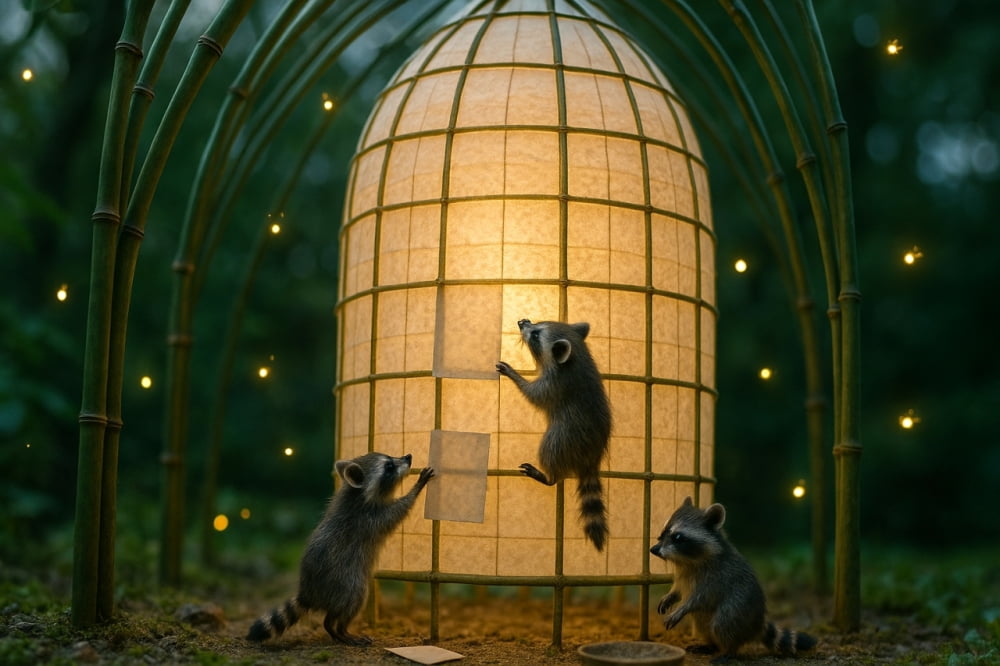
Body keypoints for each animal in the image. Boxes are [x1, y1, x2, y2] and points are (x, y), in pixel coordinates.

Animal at [247, 452, 434, 646]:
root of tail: (309, 593)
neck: (358, 494)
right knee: (354, 599)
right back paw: (340, 629)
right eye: (389, 467)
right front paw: (416, 488)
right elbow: (400, 509)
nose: (408, 457)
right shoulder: (370, 518)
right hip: (345, 581)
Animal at [496, 319, 611, 551]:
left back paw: (549, 477)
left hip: (562, 437)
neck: (578, 355)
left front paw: (515, 375)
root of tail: (591, 456)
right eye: (536, 324)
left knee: (549, 451)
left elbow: (533, 394)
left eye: (536, 336)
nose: (522, 321)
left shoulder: (554, 385)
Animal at [650, 497, 817, 660]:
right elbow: (678, 589)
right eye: (663, 532)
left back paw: (730, 650)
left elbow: (700, 599)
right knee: (702, 624)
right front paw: (670, 596)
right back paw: (711, 644)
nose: (653, 549)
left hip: (738, 609)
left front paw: (682, 607)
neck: (687, 560)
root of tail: (757, 624)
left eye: (677, 537)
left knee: (723, 622)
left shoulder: (717, 578)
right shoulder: (682, 575)